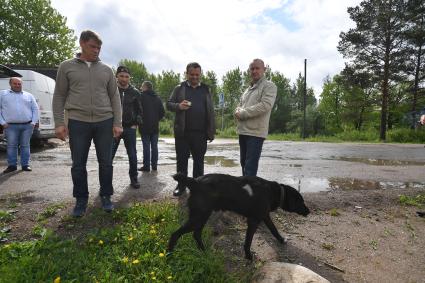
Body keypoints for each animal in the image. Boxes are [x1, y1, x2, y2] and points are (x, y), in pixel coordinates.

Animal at [167, 172, 310, 260]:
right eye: (301, 201)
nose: (308, 211)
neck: (273, 191)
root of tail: (195, 181)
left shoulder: (265, 216)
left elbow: (274, 230)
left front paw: (281, 240)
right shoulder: (253, 221)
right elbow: (248, 241)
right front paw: (248, 256)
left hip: (201, 216)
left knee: (196, 234)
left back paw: (204, 251)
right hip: (199, 217)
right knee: (175, 234)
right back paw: (169, 256)